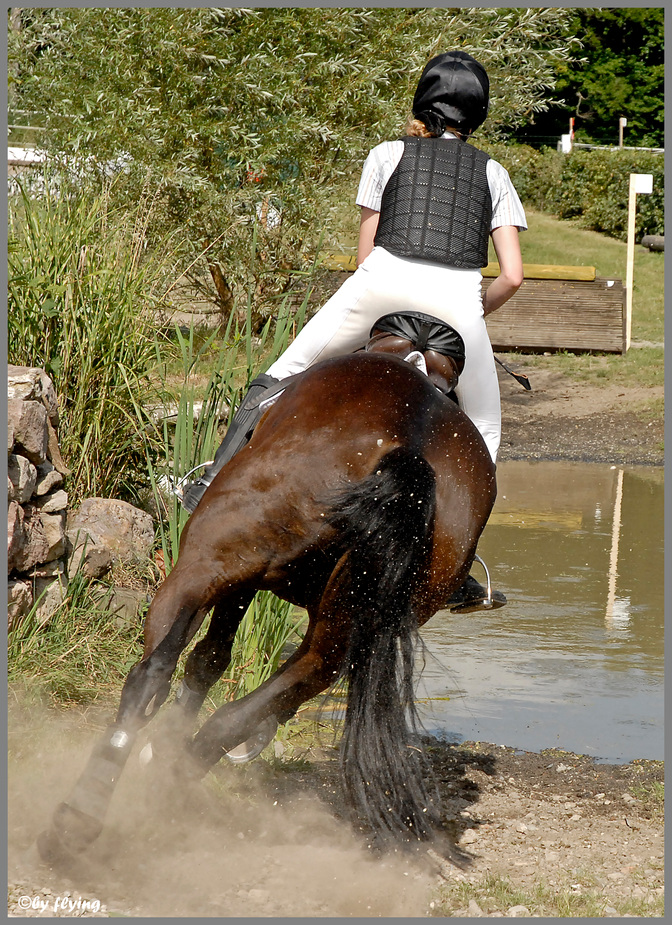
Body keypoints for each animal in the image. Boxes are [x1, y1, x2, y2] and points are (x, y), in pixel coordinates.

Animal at [36, 332, 498, 868]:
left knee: (152, 675)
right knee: (243, 710)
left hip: (205, 561)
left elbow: (206, 659)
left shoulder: (237, 578)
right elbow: (211, 661)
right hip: (337, 635)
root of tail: (410, 451)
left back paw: (86, 813)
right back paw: (155, 793)